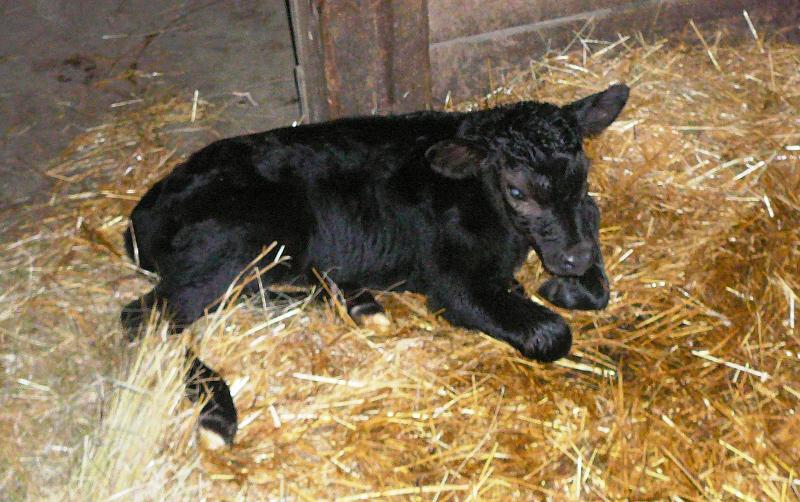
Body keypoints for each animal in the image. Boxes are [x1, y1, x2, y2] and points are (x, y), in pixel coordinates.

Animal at [120, 84, 629, 446]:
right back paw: (217, 415)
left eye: (582, 177)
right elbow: (551, 332)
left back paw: (361, 304)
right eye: (518, 191)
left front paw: (565, 283)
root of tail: (143, 211)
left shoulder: (581, 222)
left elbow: (595, 268)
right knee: (147, 317)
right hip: (231, 244)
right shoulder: (450, 282)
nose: (572, 258)